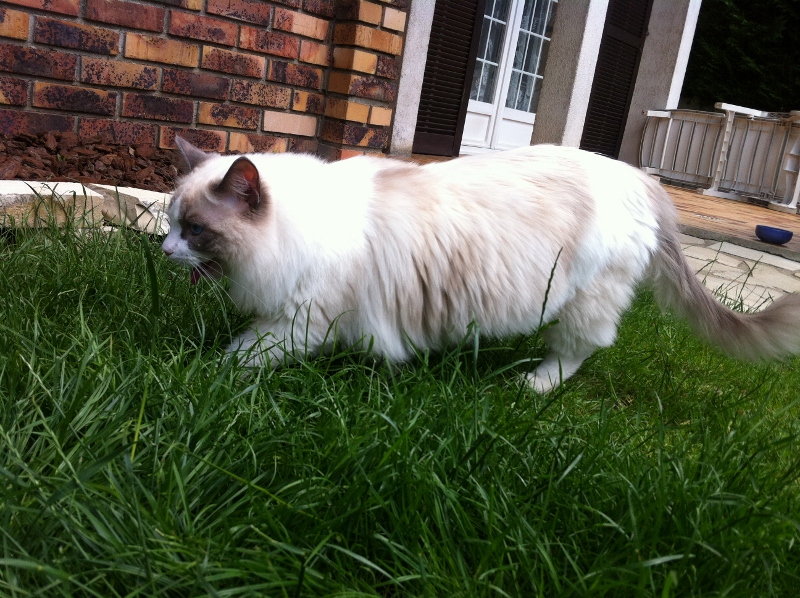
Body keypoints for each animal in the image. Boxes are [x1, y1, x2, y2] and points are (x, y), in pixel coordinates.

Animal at [161, 137, 800, 392]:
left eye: (195, 230)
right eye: (169, 222)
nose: (164, 251)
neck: (293, 228)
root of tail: (643, 179)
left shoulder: (297, 319)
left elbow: (239, 355)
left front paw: (197, 374)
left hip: (584, 300)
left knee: (578, 351)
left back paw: (534, 386)